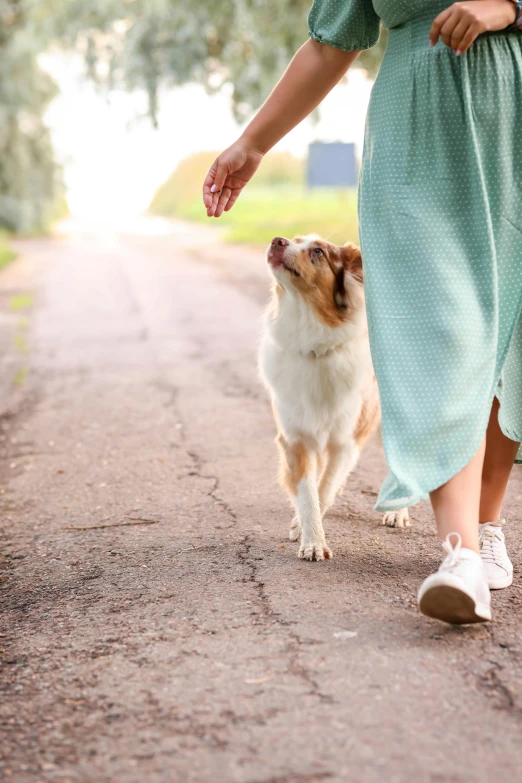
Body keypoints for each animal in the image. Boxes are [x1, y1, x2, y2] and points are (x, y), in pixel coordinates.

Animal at [258, 236, 408, 560]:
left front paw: (308, 534)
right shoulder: (295, 438)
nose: (277, 240)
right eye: (294, 239)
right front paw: (309, 535)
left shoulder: (346, 441)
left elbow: (324, 487)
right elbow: (307, 491)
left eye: (318, 251)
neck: (312, 343)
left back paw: (398, 512)